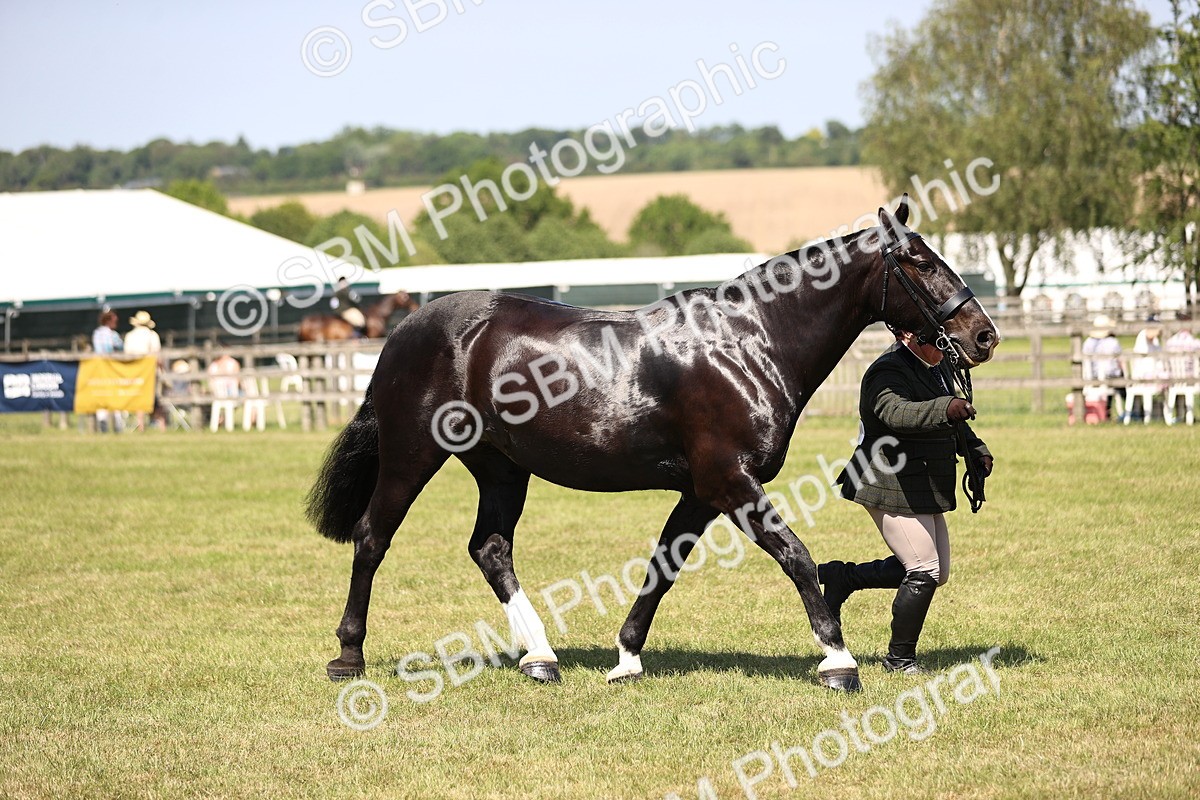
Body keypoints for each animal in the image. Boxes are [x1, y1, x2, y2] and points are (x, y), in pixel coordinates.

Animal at [306, 198, 999, 693]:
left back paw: (541, 658)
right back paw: (348, 656)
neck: (751, 342)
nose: (983, 335)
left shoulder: (701, 491)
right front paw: (838, 660)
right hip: (412, 456)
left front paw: (626, 659)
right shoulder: (731, 481)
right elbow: (797, 557)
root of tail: (405, 329)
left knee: (490, 549)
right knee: (372, 538)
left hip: (501, 468)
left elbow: (662, 568)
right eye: (920, 263)